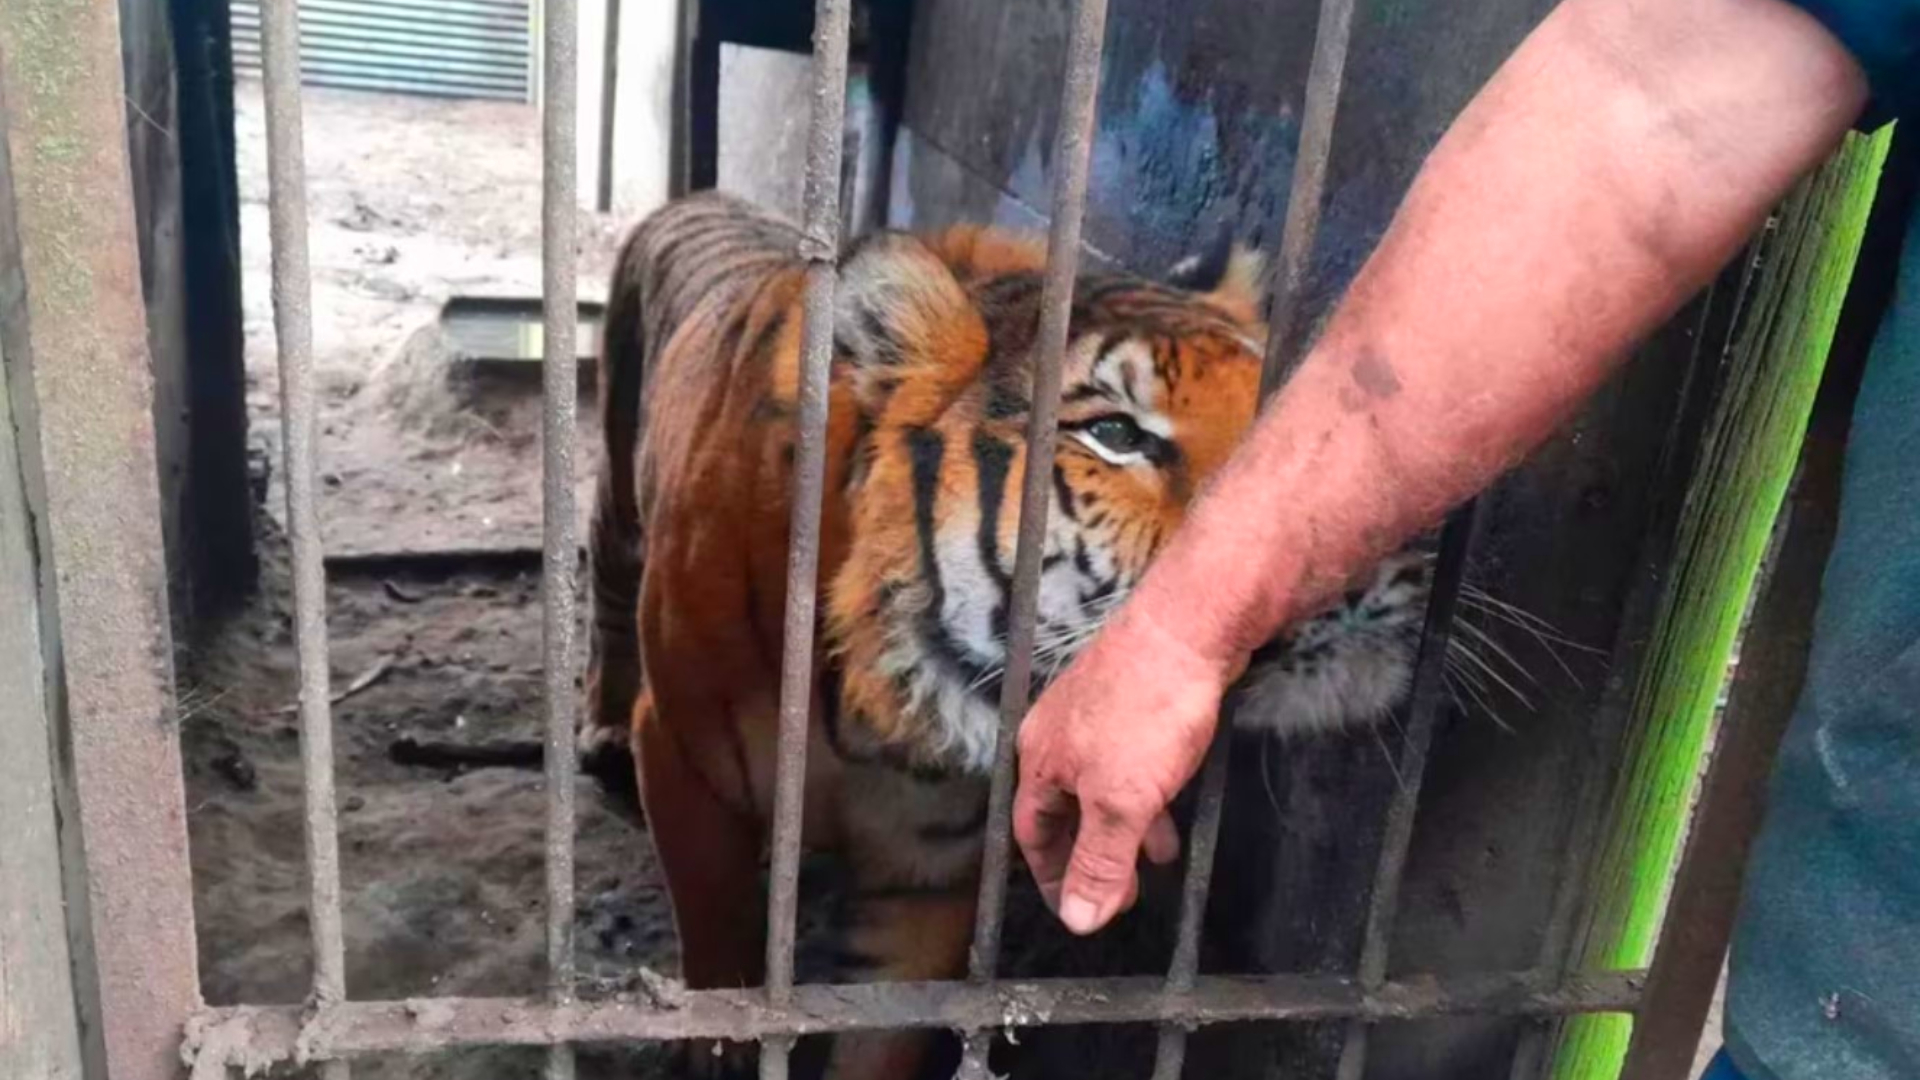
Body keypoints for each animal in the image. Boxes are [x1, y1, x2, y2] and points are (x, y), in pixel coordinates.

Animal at [576, 193, 1436, 1076]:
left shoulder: (930, 869)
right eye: (1117, 435)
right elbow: (727, 986)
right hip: (616, 495)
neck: (875, 709)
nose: (1366, 533)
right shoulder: (681, 763)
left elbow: (882, 1034)